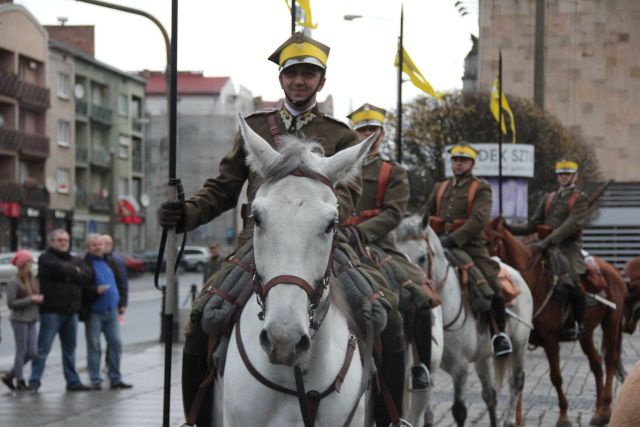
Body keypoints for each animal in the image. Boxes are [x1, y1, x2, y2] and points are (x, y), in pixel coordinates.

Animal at [396, 217, 536, 427]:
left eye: (422, 257)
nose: (407, 293)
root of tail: (516, 273)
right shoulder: (431, 372)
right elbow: (428, 416)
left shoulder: (460, 368)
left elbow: (459, 411)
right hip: (483, 356)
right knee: (490, 395)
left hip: (520, 345)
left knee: (517, 382)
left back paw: (510, 419)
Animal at [484, 217, 624, 427]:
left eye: (491, 241)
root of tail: (612, 269)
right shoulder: (519, 341)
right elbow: (516, 379)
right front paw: (517, 419)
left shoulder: (550, 341)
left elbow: (556, 377)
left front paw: (564, 416)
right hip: (586, 334)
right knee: (596, 363)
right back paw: (598, 412)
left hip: (611, 324)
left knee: (610, 360)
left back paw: (606, 410)